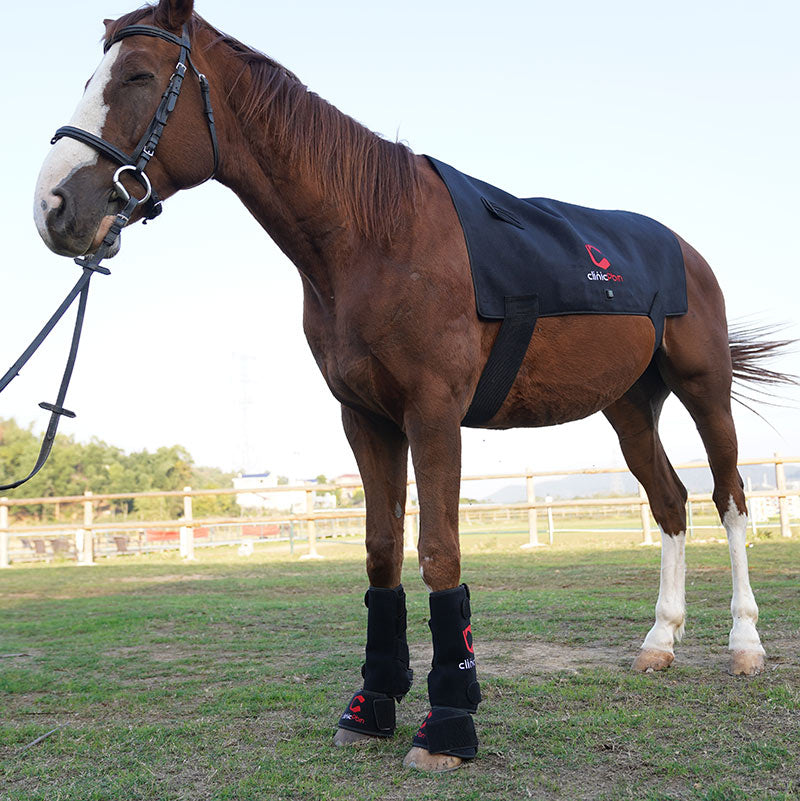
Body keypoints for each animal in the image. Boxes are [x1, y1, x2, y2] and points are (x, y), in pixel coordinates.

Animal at [33, 0, 791, 772]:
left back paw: (745, 646)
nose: (54, 206)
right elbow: (381, 553)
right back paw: (659, 643)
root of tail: (684, 250)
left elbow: (438, 554)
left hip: (704, 390)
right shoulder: (366, 419)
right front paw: (372, 705)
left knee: (731, 498)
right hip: (630, 408)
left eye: (138, 75)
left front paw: (448, 724)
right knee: (670, 503)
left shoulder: (433, 415)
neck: (377, 237)